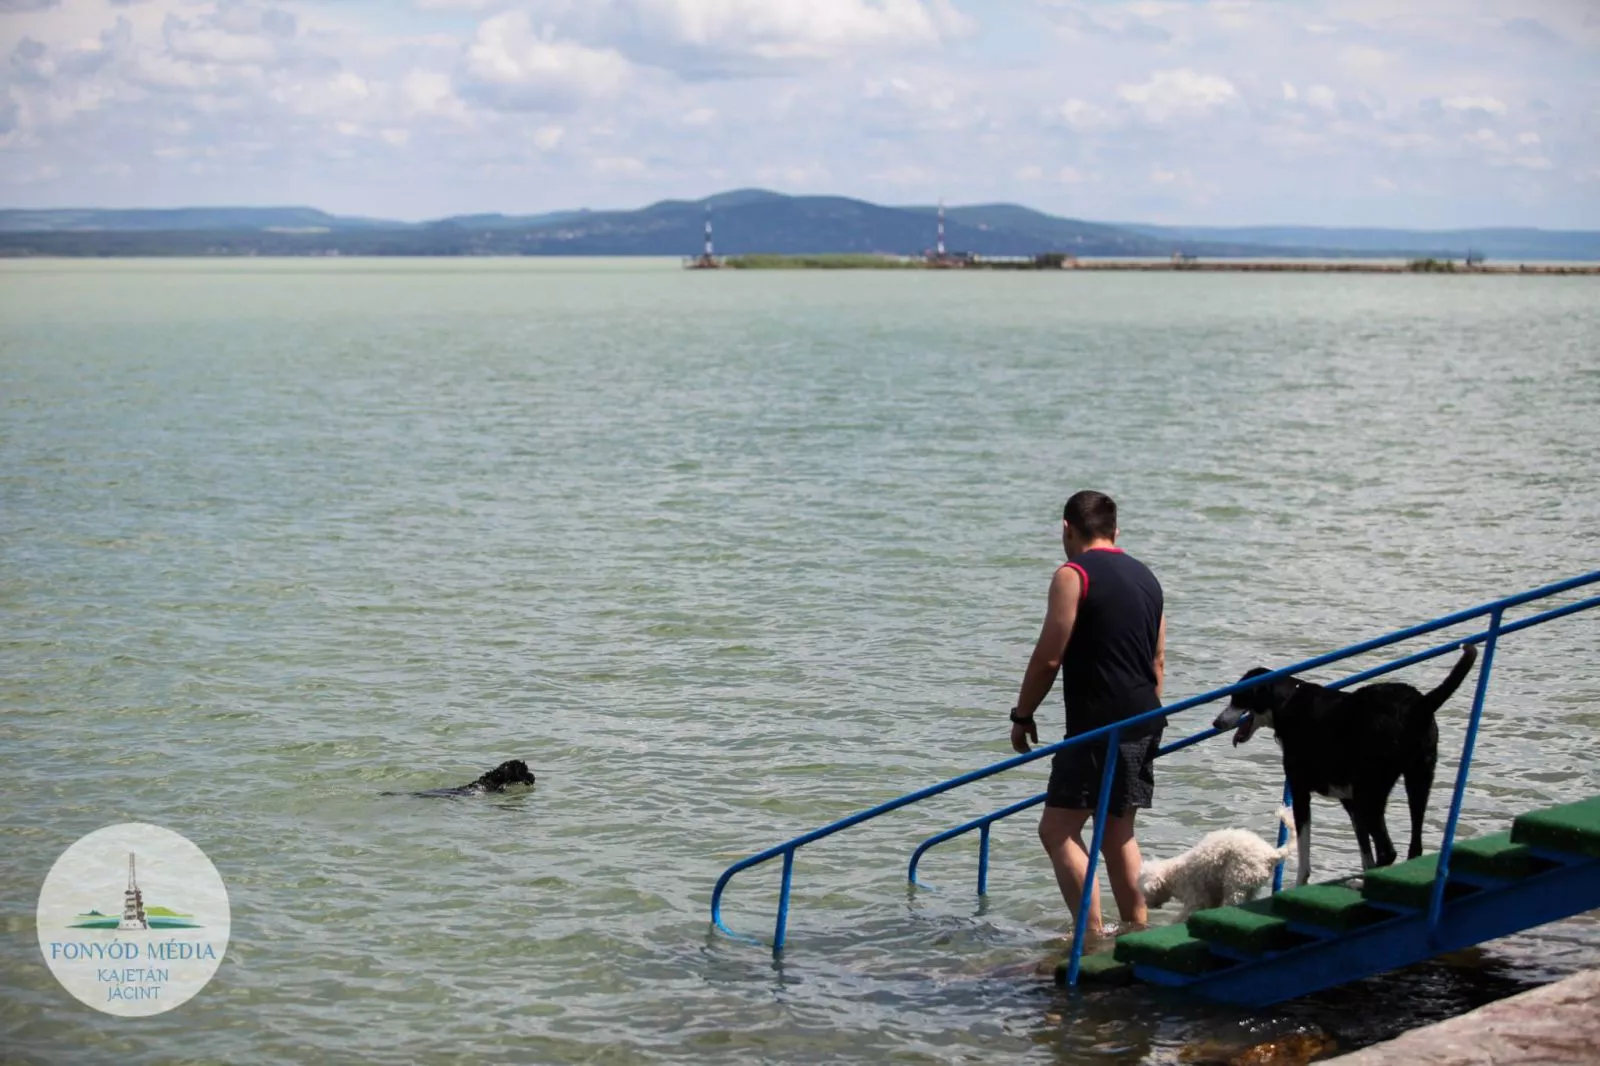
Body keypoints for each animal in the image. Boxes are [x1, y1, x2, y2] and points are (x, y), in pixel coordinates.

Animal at [1139, 806, 1299, 915]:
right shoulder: (1212, 896)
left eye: (1145, 893)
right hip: (1250, 884)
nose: (1148, 905)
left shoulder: (1196, 897)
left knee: (1232, 900)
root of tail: (1270, 854)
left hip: (1237, 879)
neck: (1172, 875)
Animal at [1216, 643, 1478, 883]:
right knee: (1413, 846)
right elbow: (1365, 853)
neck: (1288, 701)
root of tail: (1419, 704)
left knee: (1388, 850)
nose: (1215, 723)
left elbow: (1304, 856)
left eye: (1237, 697)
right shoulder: (1350, 803)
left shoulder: (1301, 792)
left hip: (1370, 792)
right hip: (1418, 780)